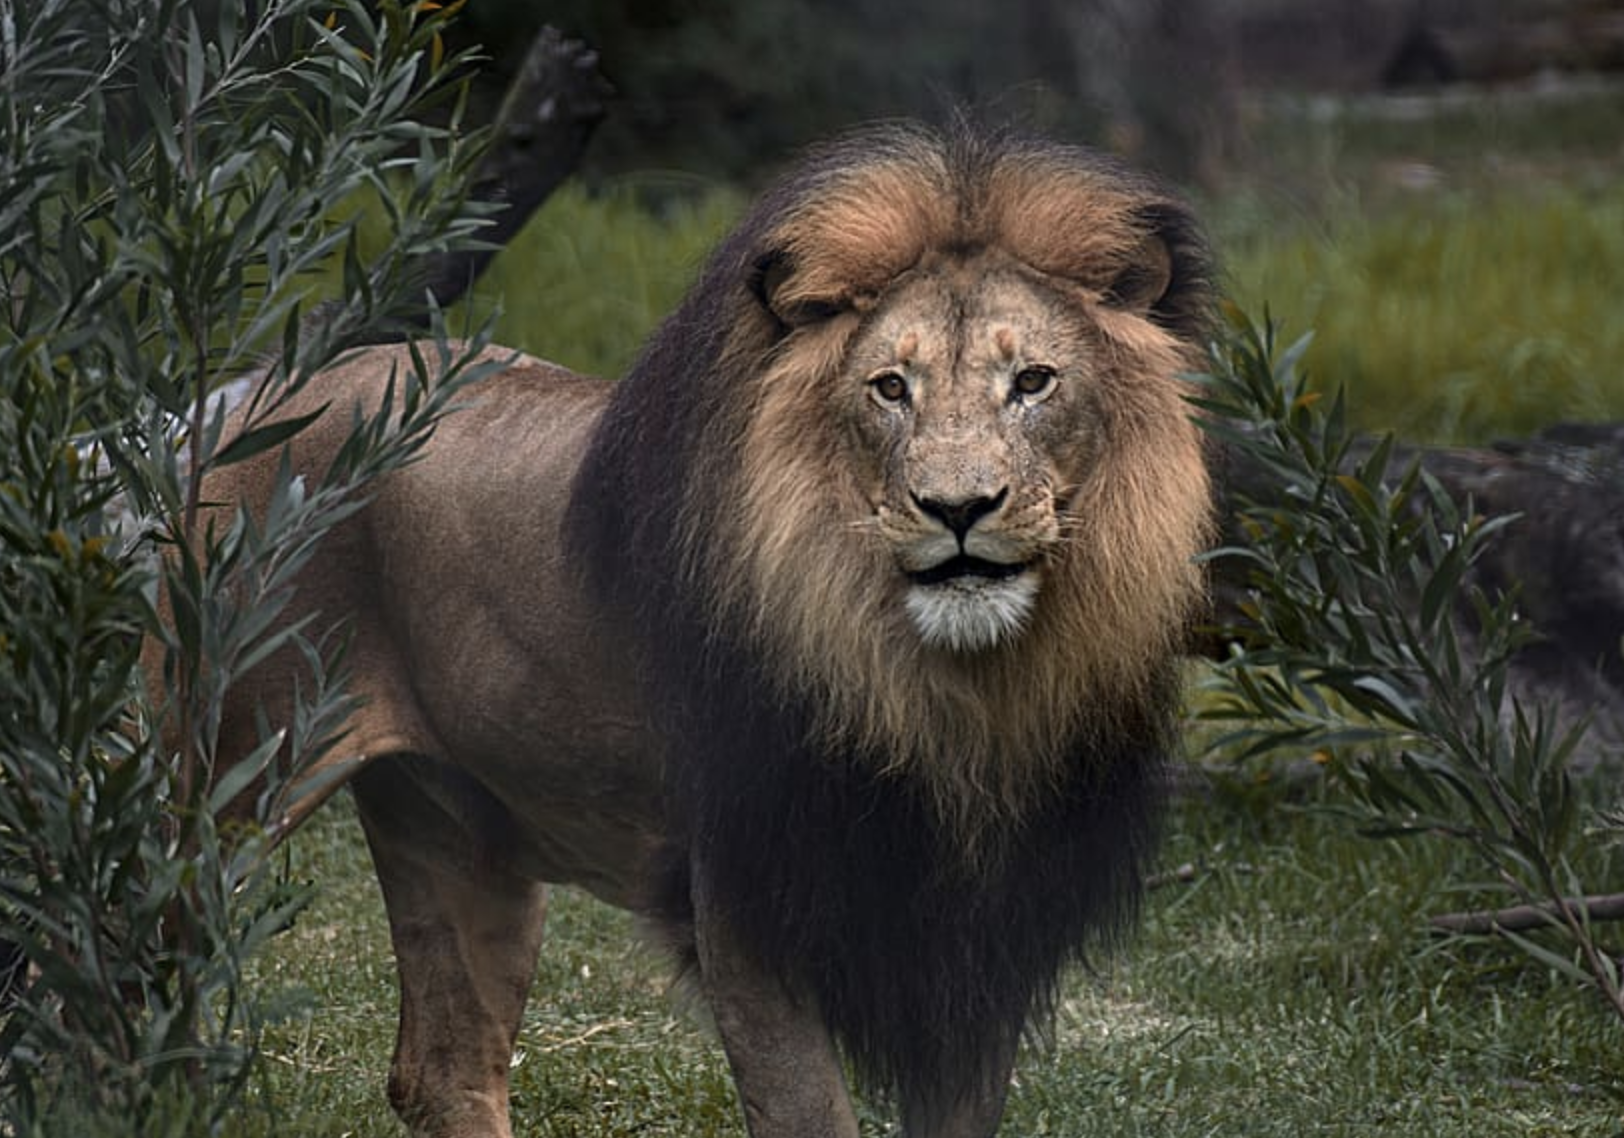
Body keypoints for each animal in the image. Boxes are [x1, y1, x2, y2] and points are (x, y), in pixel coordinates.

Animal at [185, 121, 1214, 1138]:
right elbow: (808, 1113)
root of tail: (245, 391)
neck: (947, 694)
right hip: (224, 783)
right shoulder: (747, 903)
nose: (958, 507)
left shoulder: (981, 930)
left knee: (444, 1071)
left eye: (1033, 381)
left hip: (455, 827)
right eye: (890, 388)